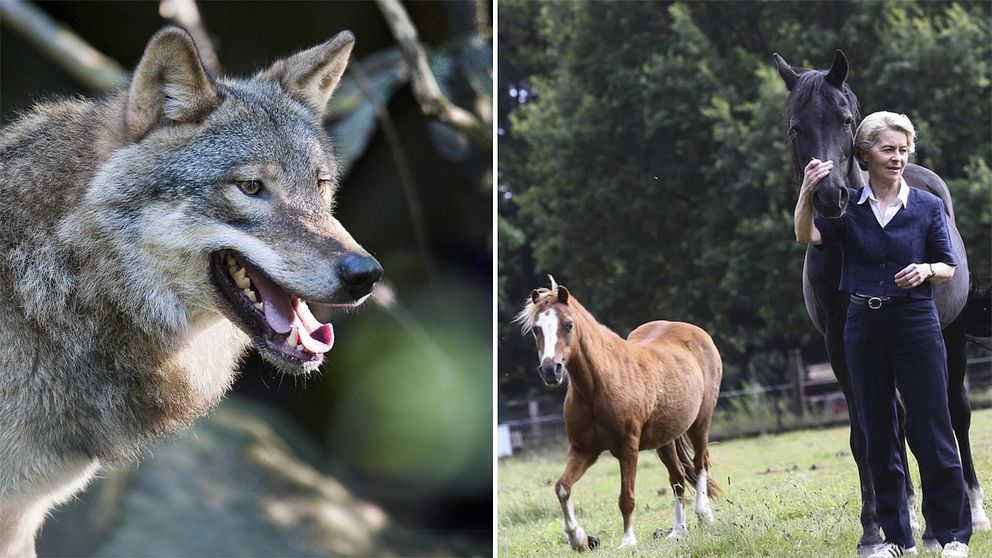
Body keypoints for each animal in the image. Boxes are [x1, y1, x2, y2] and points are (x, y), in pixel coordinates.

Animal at [520, 278, 720, 552]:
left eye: (568, 324)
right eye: (536, 329)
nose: (551, 370)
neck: (597, 387)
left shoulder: (628, 448)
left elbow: (626, 497)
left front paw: (627, 541)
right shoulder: (583, 449)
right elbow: (562, 487)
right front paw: (578, 539)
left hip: (700, 422)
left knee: (700, 464)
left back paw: (704, 516)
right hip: (665, 439)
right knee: (677, 478)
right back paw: (678, 531)